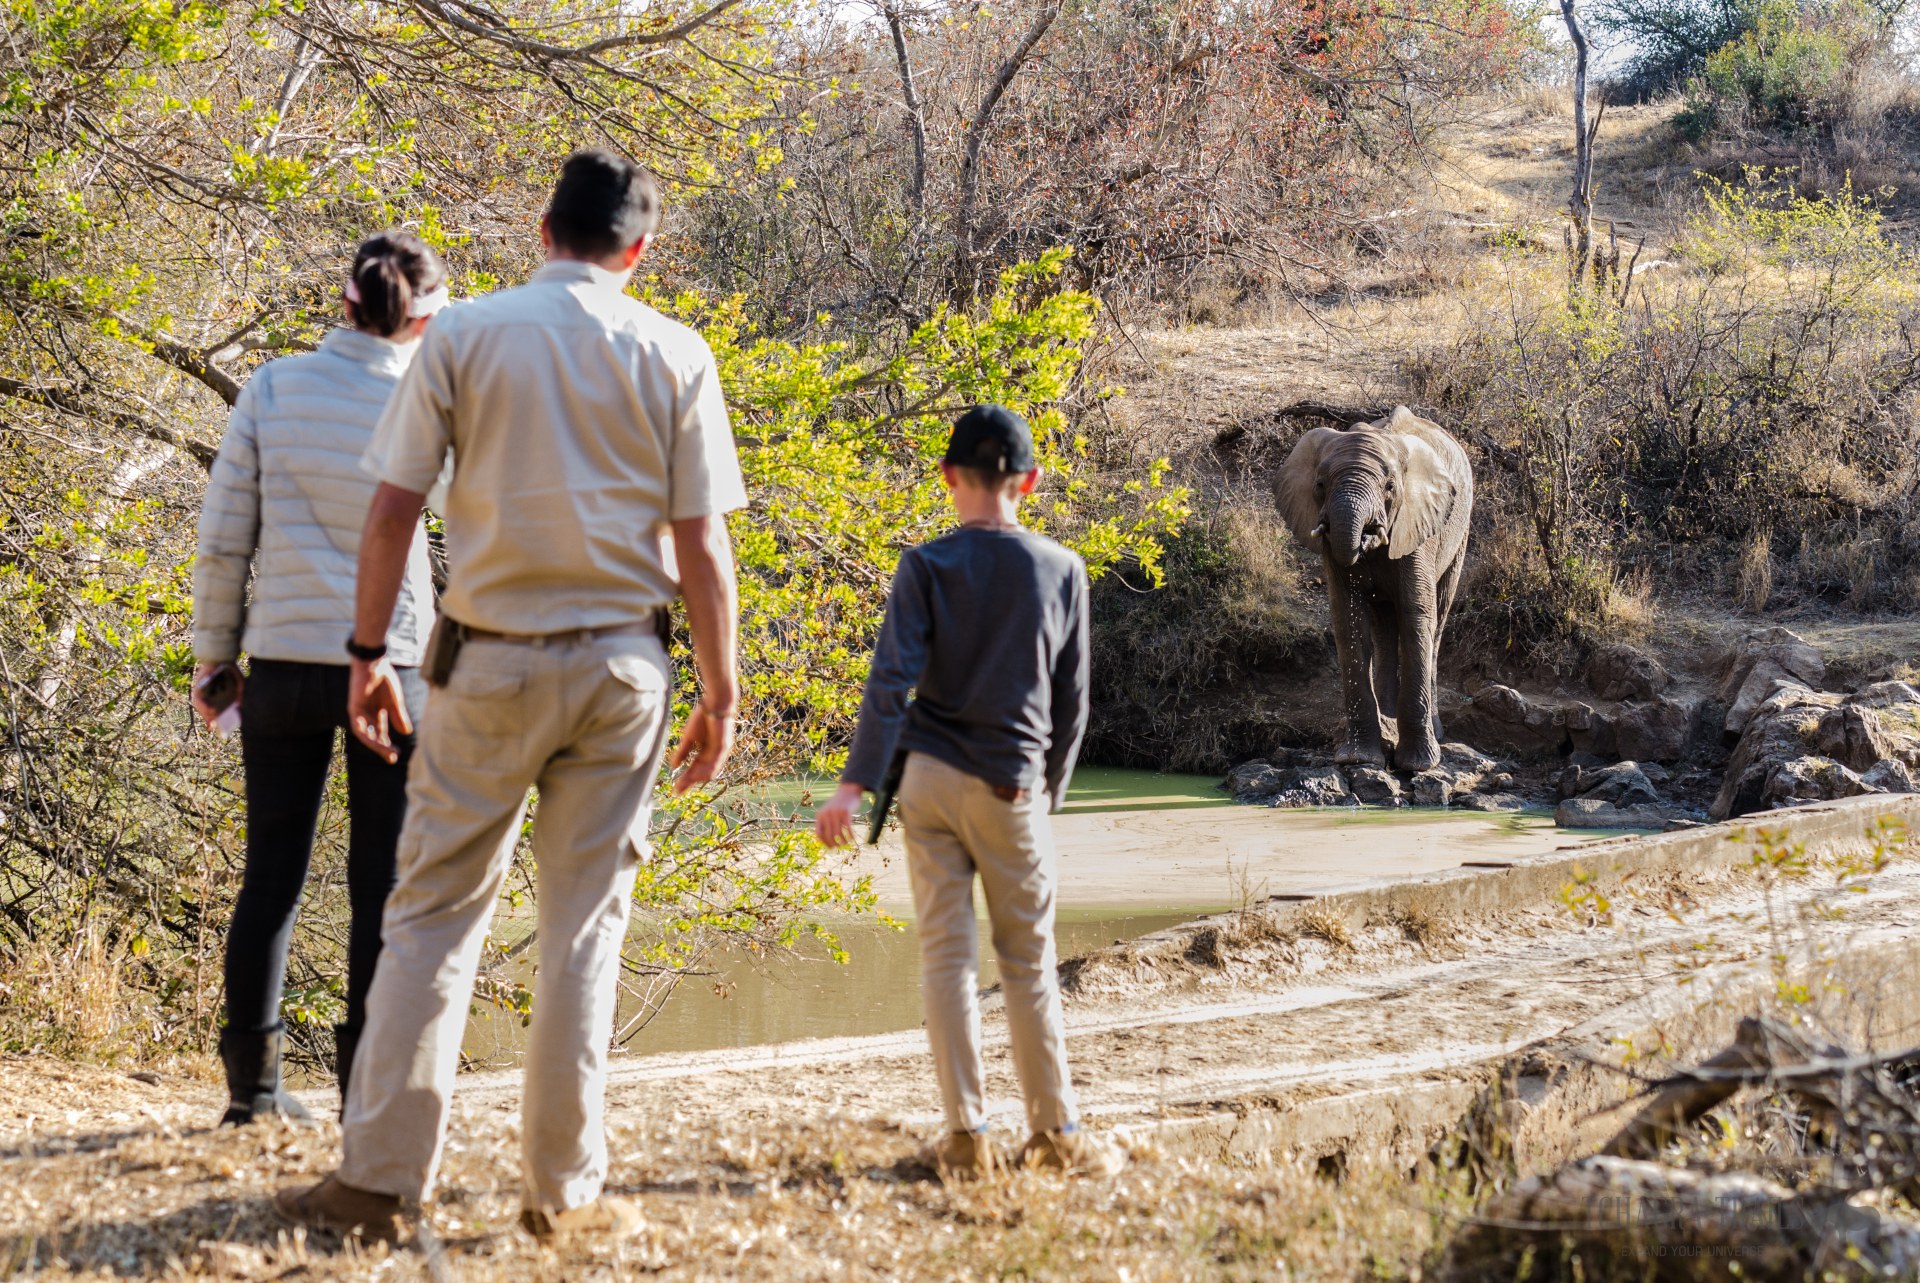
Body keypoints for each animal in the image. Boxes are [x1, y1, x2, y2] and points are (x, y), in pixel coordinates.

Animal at [1282, 409, 1474, 772]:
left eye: (1390, 487)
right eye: (1319, 485)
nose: (1367, 537)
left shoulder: (1418, 526)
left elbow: (1416, 615)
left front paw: (1418, 765)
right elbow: (1349, 619)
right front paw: (1358, 758)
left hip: (1460, 530)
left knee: (1437, 619)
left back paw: (1432, 730)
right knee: (1384, 624)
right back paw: (1388, 721)